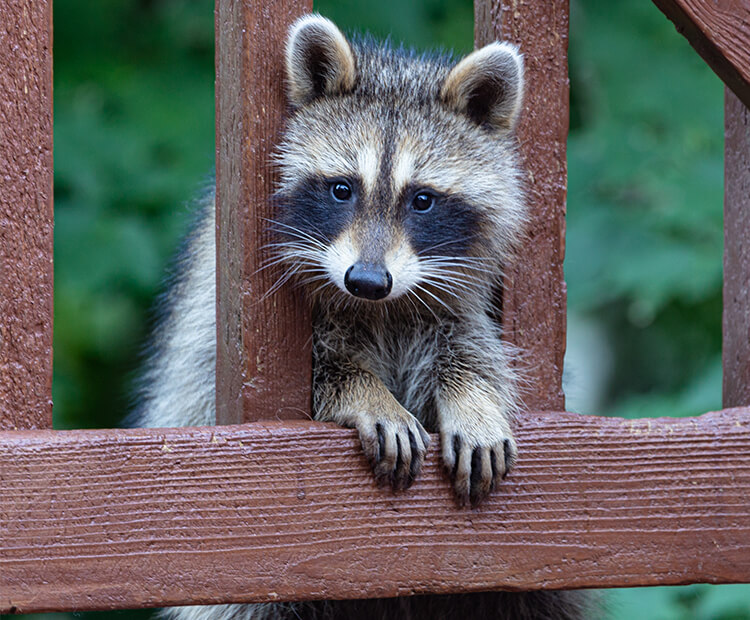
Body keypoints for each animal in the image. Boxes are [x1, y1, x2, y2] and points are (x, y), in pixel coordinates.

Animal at [138, 12, 592, 620]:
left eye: (421, 200)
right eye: (341, 189)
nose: (368, 280)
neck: (382, 308)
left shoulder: (458, 293)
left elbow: (473, 347)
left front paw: (474, 398)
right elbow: (310, 371)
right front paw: (365, 393)